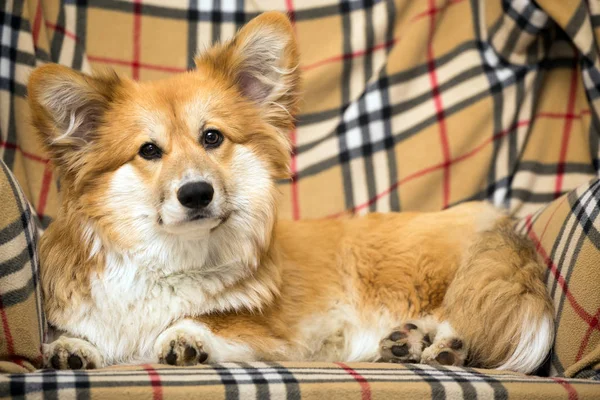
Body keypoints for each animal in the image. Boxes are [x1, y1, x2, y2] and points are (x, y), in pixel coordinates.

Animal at [27, 10, 552, 374]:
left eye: (212, 137)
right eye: (149, 151)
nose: (196, 194)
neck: (171, 260)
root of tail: (497, 221)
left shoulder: (271, 335)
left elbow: (211, 322)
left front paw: (185, 338)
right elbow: (80, 337)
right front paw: (69, 348)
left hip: (430, 274)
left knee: (463, 310)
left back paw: (443, 345)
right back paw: (405, 342)